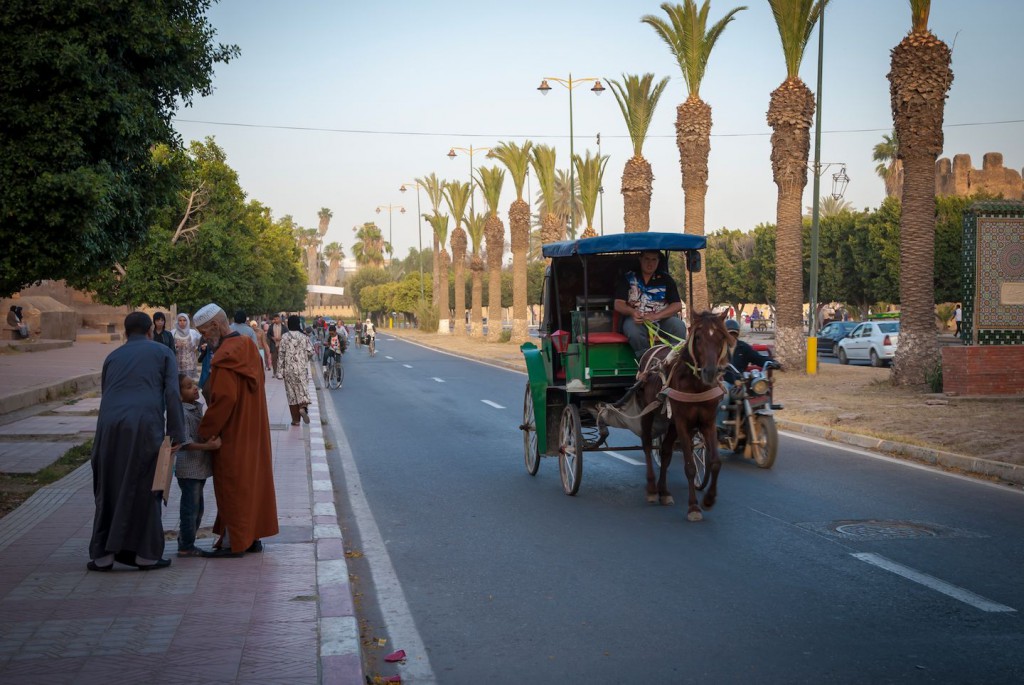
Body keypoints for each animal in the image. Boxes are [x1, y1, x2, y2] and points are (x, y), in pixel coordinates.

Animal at [638, 313, 729, 520]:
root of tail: (653, 347)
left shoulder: (707, 423)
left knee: (665, 451)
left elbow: (716, 463)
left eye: (721, 337)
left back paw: (664, 491)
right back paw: (651, 488)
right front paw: (693, 507)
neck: (696, 385)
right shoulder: (682, 423)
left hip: (670, 424)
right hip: (647, 412)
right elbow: (689, 466)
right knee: (646, 444)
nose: (710, 372)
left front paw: (709, 499)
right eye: (698, 337)